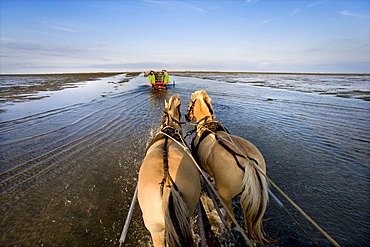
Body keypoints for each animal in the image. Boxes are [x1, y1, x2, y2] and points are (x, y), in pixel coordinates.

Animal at [186, 89, 270, 244]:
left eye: (190, 105)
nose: (186, 116)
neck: (207, 125)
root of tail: (249, 163)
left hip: (225, 196)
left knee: (229, 220)